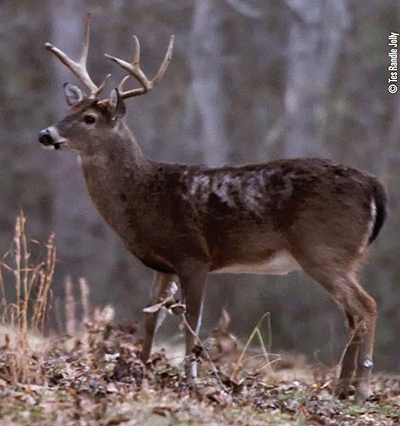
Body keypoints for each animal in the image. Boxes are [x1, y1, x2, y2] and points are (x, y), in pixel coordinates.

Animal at [38, 15, 388, 402]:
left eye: (89, 118)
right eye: (68, 111)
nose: (46, 135)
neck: (143, 195)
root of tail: (375, 187)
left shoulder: (194, 256)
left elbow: (192, 322)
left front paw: (190, 380)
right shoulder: (163, 264)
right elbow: (151, 319)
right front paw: (141, 370)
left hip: (322, 248)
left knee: (366, 306)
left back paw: (361, 389)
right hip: (345, 256)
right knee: (352, 315)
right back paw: (341, 388)